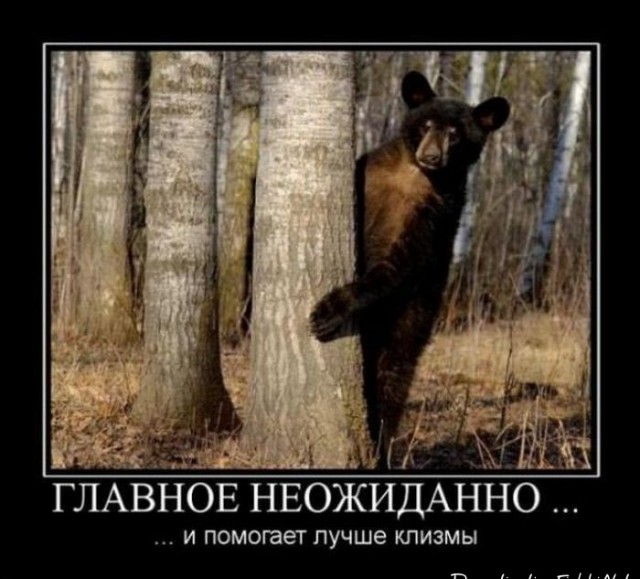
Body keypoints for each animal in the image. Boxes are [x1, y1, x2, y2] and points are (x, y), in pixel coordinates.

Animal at [309, 70, 510, 466]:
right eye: (426, 124)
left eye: (455, 134)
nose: (432, 156)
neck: (414, 177)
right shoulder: (369, 177)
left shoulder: (432, 218)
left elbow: (395, 268)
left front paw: (327, 312)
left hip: (410, 324)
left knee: (392, 382)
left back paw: (381, 447)